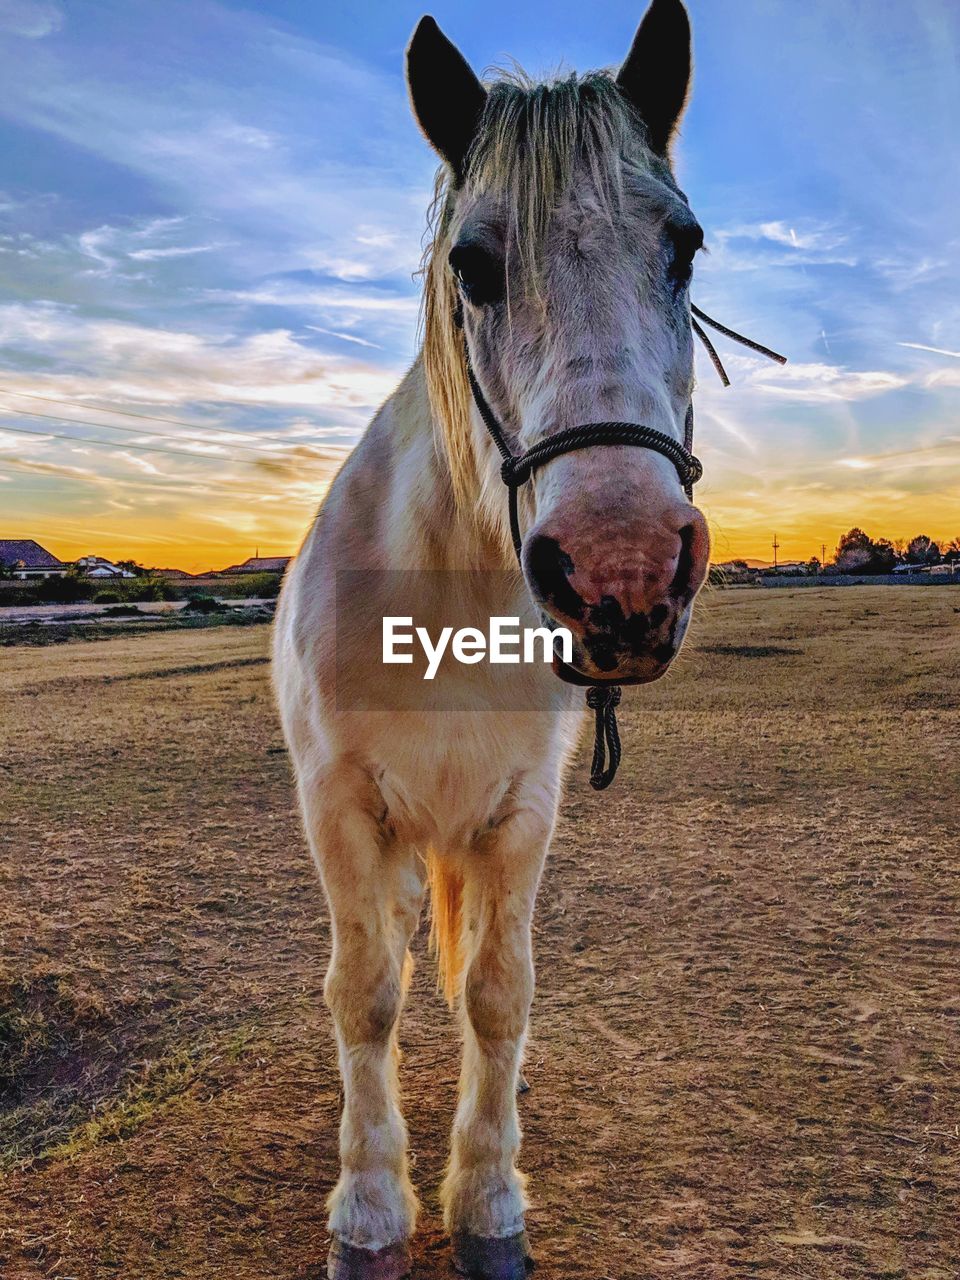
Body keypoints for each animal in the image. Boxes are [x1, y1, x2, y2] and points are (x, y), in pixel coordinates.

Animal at [273, 0, 716, 1274]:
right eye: (473, 264)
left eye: (685, 248)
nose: (622, 568)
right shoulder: (342, 809)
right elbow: (367, 991)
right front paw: (372, 1208)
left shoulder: (520, 813)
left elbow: (498, 993)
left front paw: (487, 1199)